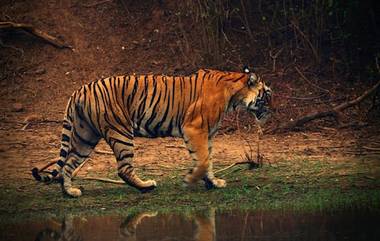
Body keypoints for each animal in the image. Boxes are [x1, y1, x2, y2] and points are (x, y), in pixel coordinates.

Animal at [31, 65, 270, 196]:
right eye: (267, 94)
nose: (271, 111)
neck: (234, 94)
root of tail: (79, 90)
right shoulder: (194, 128)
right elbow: (202, 160)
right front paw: (190, 180)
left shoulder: (207, 134)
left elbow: (208, 160)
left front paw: (213, 182)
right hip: (120, 132)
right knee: (123, 169)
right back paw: (146, 186)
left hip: (85, 136)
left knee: (68, 164)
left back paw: (70, 192)